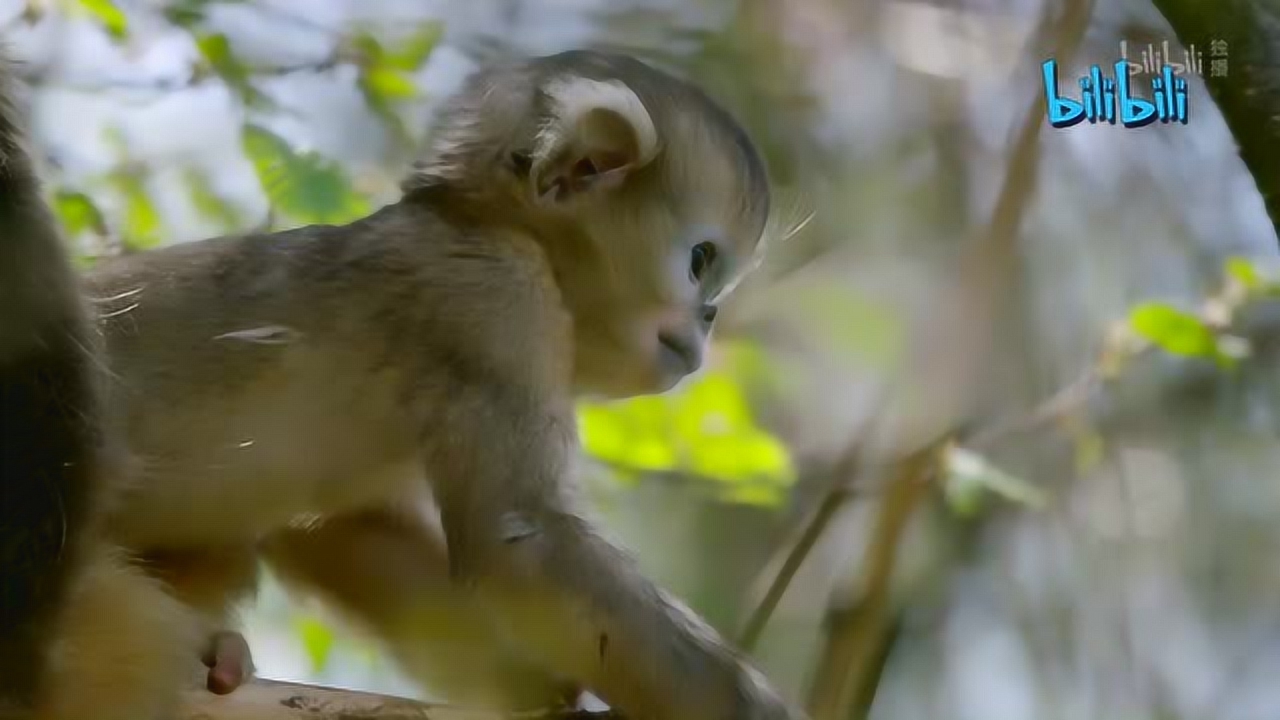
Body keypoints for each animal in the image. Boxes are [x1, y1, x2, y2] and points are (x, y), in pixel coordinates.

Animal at [80, 51, 803, 717]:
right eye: (701, 261)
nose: (709, 318)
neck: (489, 227)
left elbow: (354, 534)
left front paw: (543, 691)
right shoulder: (500, 303)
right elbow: (520, 540)